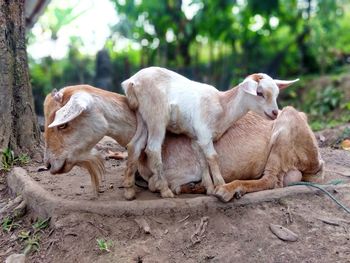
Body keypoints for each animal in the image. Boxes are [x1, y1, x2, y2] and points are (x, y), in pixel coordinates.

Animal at [44, 86, 326, 202]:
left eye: (63, 124)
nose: (49, 164)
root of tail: (317, 162)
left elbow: (157, 184)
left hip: (284, 130)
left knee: (272, 180)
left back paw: (227, 190)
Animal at [121, 67, 300, 199]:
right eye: (260, 93)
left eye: (276, 94)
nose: (275, 113)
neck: (222, 105)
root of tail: (132, 82)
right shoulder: (205, 133)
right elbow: (213, 157)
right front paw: (220, 186)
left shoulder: (196, 138)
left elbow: (202, 160)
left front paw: (209, 187)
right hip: (156, 116)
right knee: (152, 149)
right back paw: (165, 191)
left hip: (142, 116)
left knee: (134, 145)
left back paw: (129, 190)